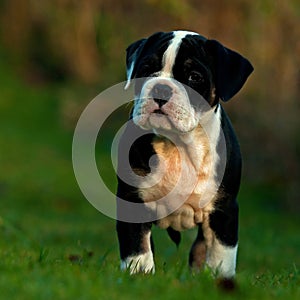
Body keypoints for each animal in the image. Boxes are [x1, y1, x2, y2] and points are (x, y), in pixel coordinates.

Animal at [116, 30, 252, 278]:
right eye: (145, 68)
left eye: (194, 77)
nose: (161, 88)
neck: (177, 144)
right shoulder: (131, 199)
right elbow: (137, 245)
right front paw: (139, 274)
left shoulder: (224, 209)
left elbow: (222, 254)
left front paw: (220, 279)